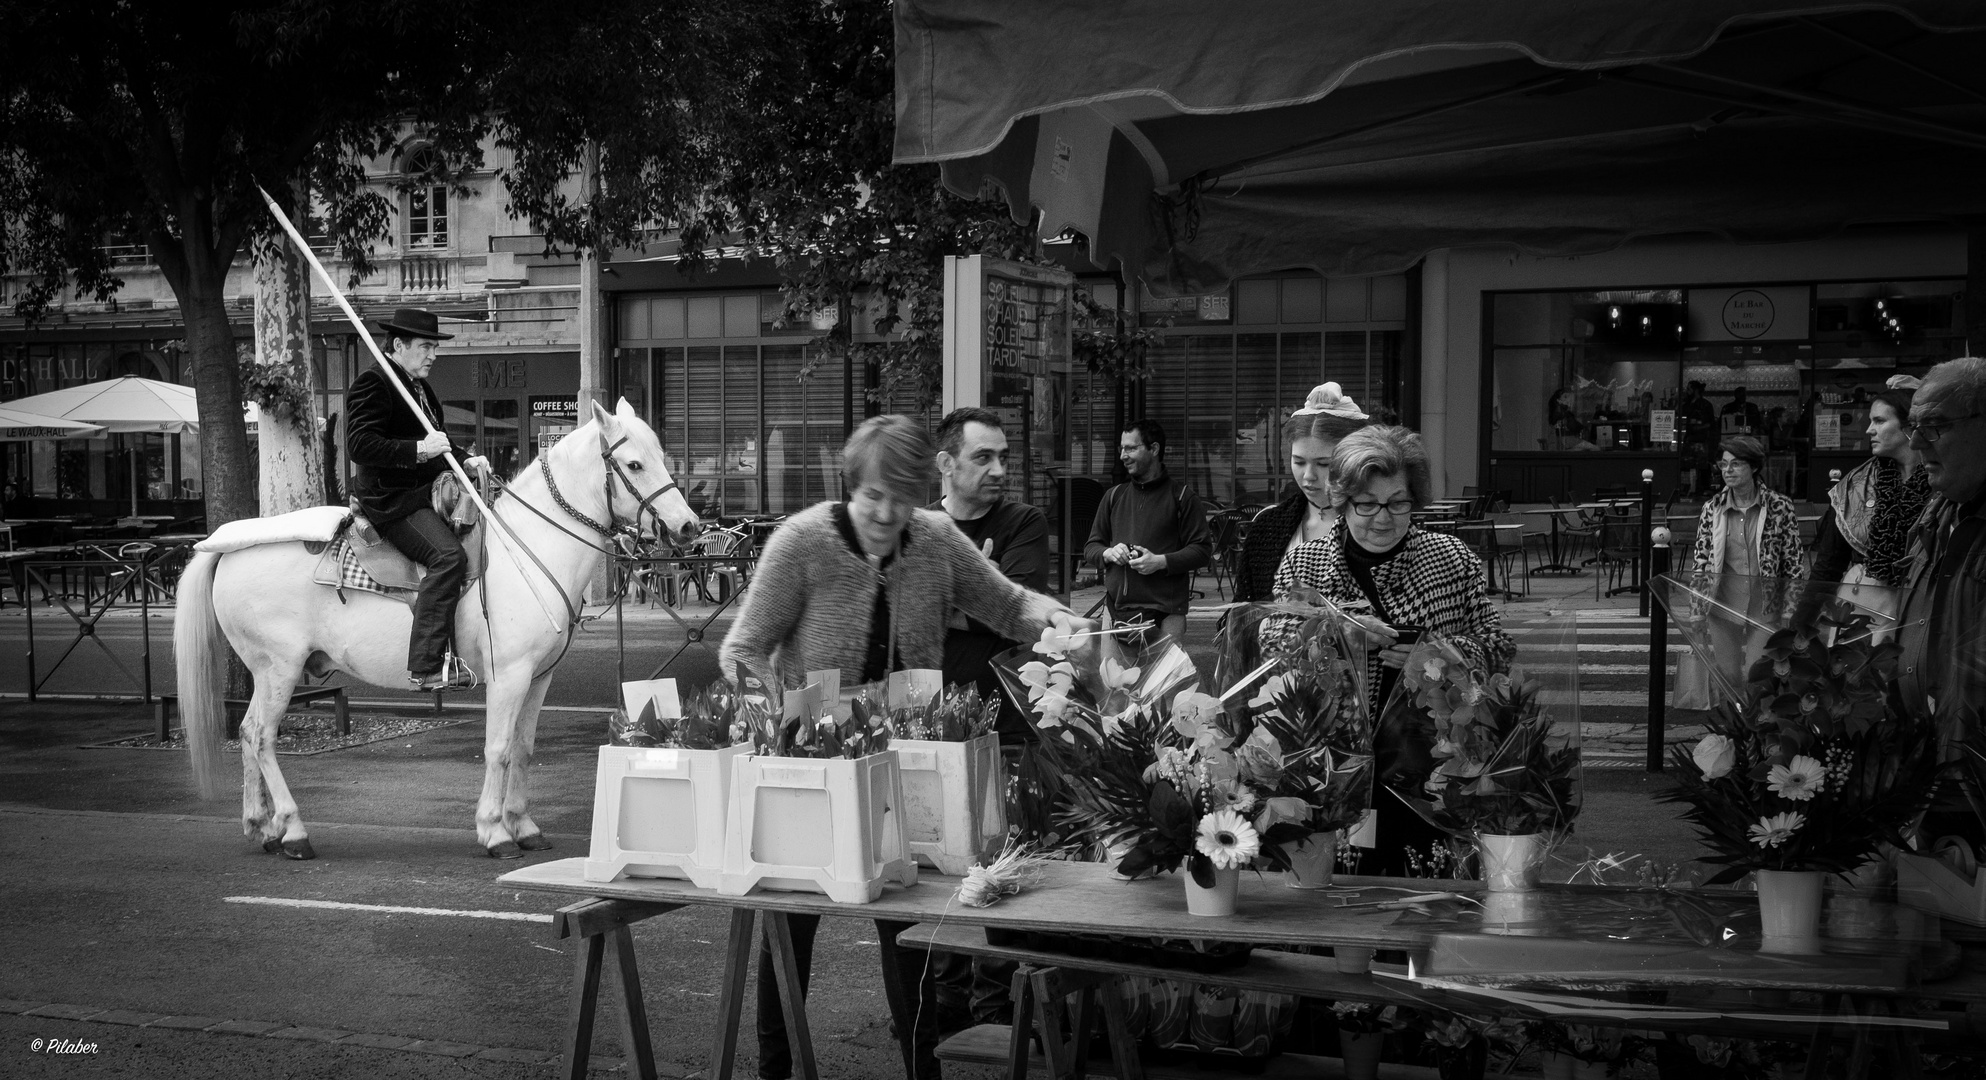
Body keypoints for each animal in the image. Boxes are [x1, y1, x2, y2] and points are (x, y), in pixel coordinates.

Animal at [174, 399, 699, 861]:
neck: (526, 548)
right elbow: (498, 748)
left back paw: (261, 828)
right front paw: (495, 832)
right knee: (262, 736)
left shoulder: (539, 677)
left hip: (267, 672)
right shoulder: (509, 676)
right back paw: (294, 831)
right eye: (634, 464)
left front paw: (524, 826)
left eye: (661, 457)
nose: (690, 527)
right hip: (278, 668)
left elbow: (524, 749)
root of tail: (226, 548)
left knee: (246, 734)